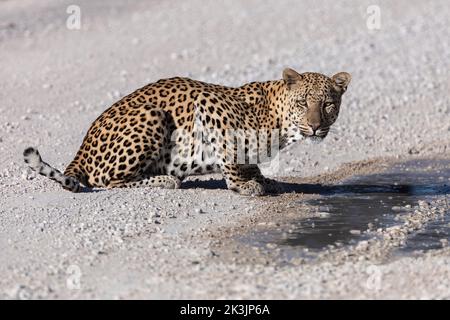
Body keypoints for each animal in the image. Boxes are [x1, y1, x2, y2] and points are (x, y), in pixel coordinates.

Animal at [22, 68, 352, 195]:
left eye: (328, 104)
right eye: (303, 102)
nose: (316, 126)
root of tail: (83, 145)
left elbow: (252, 165)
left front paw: (265, 179)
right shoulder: (208, 104)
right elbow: (231, 157)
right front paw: (243, 186)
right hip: (151, 115)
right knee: (106, 180)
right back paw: (165, 179)